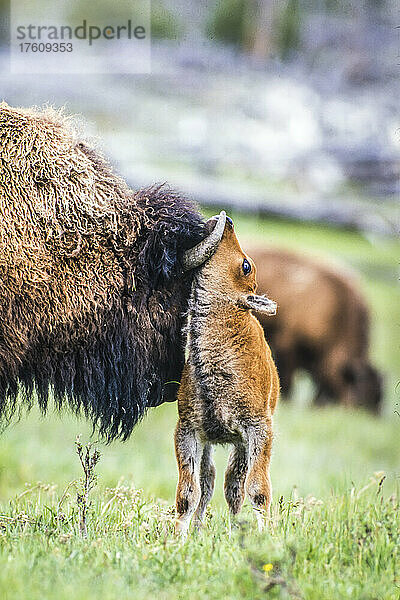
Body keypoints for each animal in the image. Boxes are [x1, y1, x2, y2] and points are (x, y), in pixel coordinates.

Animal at [175, 211, 278, 536]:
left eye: (246, 265)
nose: (228, 220)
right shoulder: (189, 430)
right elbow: (189, 492)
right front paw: (177, 537)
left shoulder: (257, 430)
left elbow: (256, 488)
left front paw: (264, 535)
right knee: (210, 481)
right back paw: (202, 528)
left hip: (241, 443)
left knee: (234, 483)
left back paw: (235, 529)